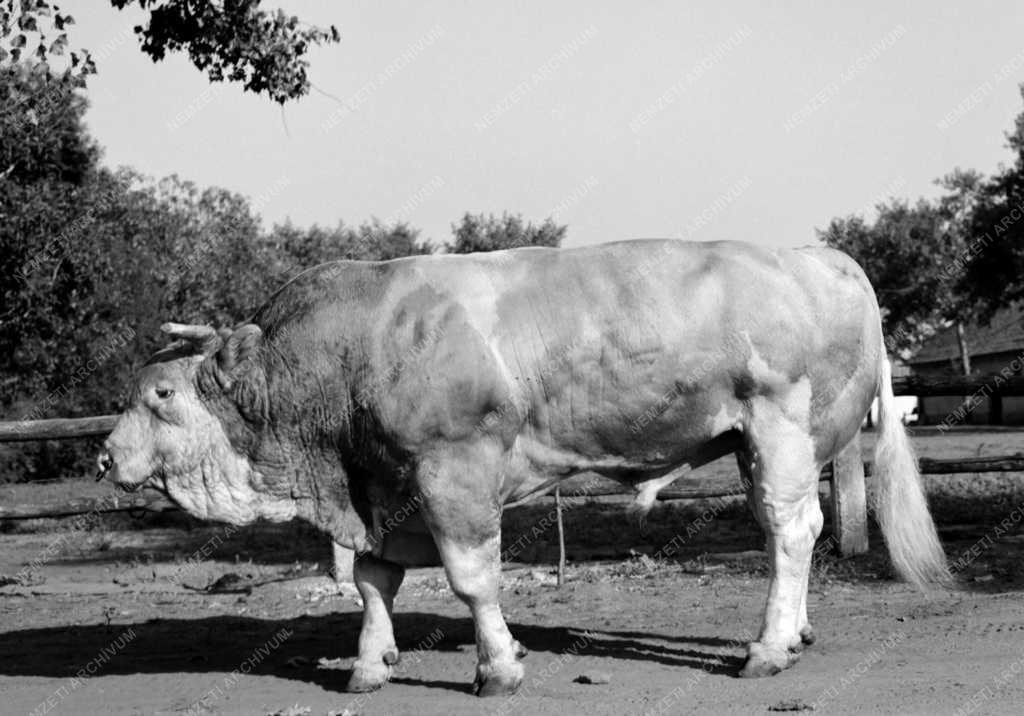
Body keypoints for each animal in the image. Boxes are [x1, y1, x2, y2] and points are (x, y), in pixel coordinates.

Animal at [99, 239, 946, 696]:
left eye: (161, 394)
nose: (105, 455)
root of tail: (814, 253)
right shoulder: (382, 486)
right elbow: (372, 579)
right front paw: (371, 663)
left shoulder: (453, 471)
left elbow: (472, 578)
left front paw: (499, 667)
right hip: (760, 441)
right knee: (791, 532)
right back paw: (794, 632)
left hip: (779, 428)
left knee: (791, 530)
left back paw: (767, 648)